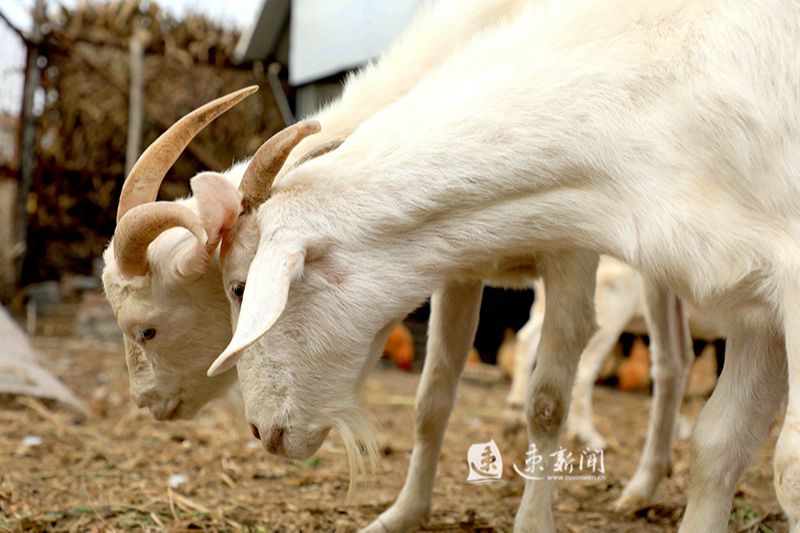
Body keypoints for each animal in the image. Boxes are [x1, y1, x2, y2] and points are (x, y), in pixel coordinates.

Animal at [200, 0, 800, 531]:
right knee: (671, 365)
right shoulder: (748, 301)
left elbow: (786, 465)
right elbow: (719, 444)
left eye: (239, 288)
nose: (260, 429)